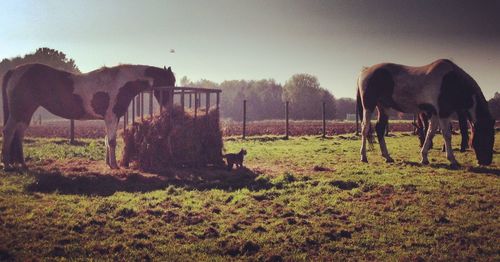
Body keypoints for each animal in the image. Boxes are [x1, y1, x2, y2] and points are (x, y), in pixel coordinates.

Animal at [1, 63, 176, 170]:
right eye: (169, 83)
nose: (168, 108)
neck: (120, 83)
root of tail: (14, 71)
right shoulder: (111, 117)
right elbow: (112, 141)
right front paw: (114, 165)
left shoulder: (111, 118)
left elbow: (107, 140)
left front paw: (109, 163)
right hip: (19, 112)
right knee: (8, 132)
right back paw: (8, 165)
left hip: (25, 112)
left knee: (19, 134)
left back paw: (22, 164)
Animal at [358, 58, 494, 166]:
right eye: (486, 136)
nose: (486, 161)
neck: (451, 80)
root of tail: (365, 71)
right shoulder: (443, 113)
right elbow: (447, 135)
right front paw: (452, 160)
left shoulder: (435, 114)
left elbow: (430, 133)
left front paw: (424, 158)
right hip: (369, 106)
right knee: (365, 128)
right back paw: (363, 157)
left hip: (384, 107)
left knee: (380, 128)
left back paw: (387, 157)